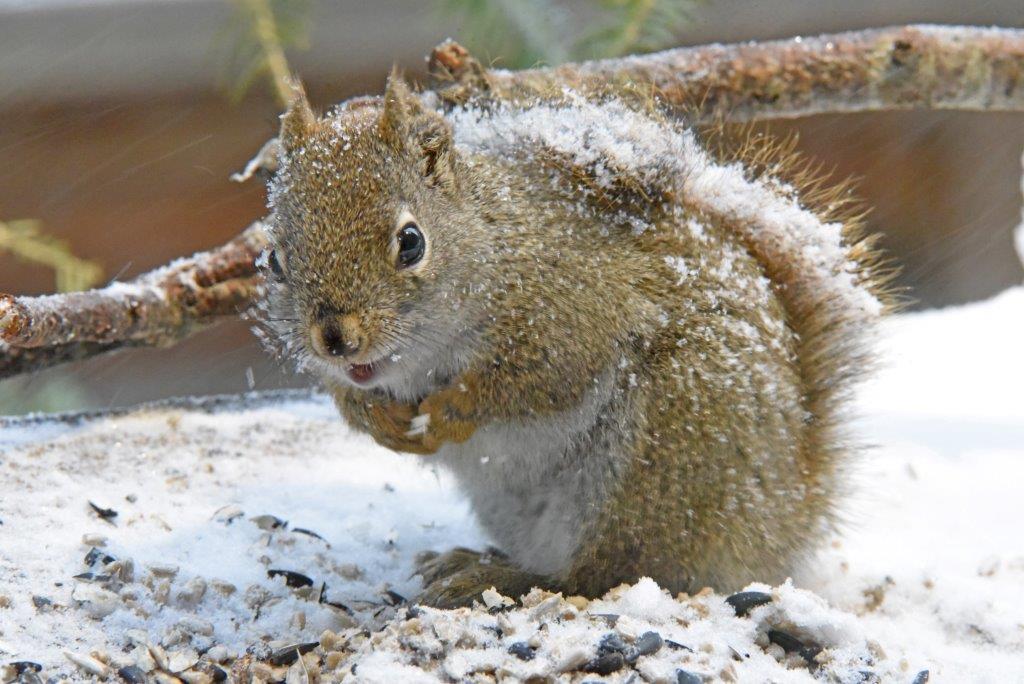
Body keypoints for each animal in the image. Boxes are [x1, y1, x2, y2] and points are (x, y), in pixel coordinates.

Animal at [258, 64, 890, 608]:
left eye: (411, 242)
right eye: (274, 259)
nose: (336, 338)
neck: (495, 241)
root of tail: (790, 517)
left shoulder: (577, 309)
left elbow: (539, 381)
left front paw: (449, 412)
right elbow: (351, 399)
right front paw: (382, 422)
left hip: (665, 456)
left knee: (603, 574)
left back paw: (498, 579)